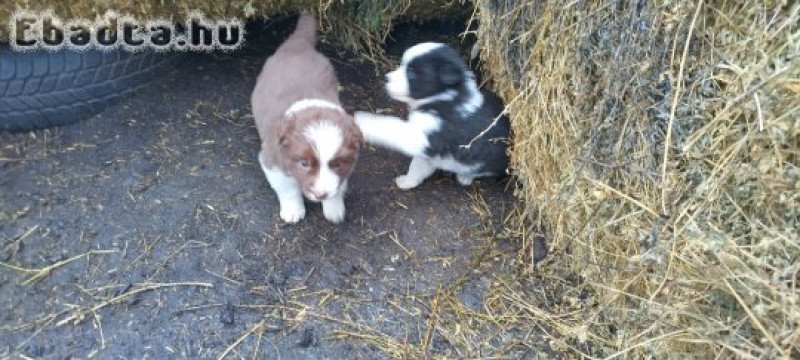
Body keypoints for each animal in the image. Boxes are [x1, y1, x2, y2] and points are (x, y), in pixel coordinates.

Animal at [252, 14, 360, 224]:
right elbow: (288, 189)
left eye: (337, 164)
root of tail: (298, 44)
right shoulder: (272, 160)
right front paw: (293, 211)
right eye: (304, 164)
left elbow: (338, 187)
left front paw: (334, 208)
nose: (320, 194)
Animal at [358, 41, 512, 188]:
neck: (442, 98)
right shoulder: (427, 150)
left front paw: (363, 122)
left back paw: (466, 177)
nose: (386, 78)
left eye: (412, 73)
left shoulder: (424, 135)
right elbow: (417, 167)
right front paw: (407, 182)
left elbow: (389, 125)